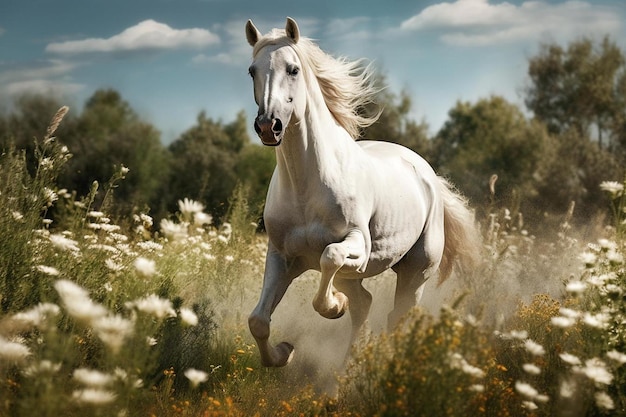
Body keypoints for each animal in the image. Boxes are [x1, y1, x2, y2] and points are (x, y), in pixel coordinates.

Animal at [244, 17, 478, 366]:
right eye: (252, 71)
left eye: (293, 69)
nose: (267, 126)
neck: (305, 187)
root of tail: (428, 176)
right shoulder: (281, 257)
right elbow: (258, 320)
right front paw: (283, 353)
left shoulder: (358, 246)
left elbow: (330, 257)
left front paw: (334, 306)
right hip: (358, 275)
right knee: (364, 304)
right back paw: (344, 371)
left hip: (416, 270)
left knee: (397, 314)